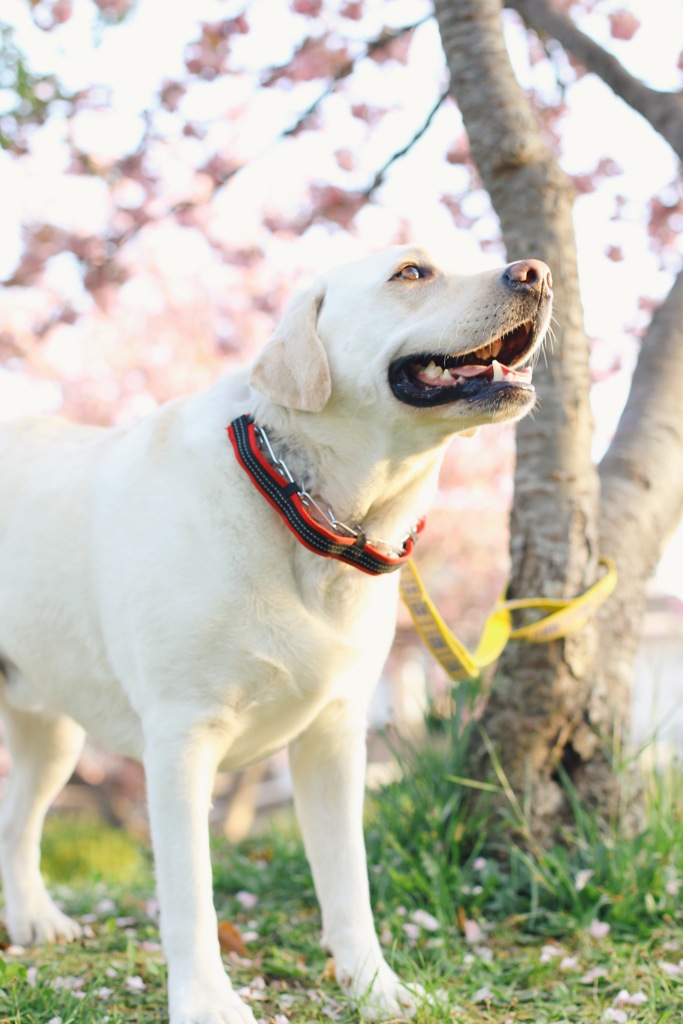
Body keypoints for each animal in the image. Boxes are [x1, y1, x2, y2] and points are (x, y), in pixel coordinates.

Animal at [0, 243, 552, 1019]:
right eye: (412, 272)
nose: (536, 272)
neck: (305, 505)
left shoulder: (335, 737)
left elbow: (347, 881)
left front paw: (374, 986)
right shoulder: (180, 738)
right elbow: (191, 895)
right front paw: (205, 1000)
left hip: (54, 731)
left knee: (17, 822)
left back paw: (33, 919)